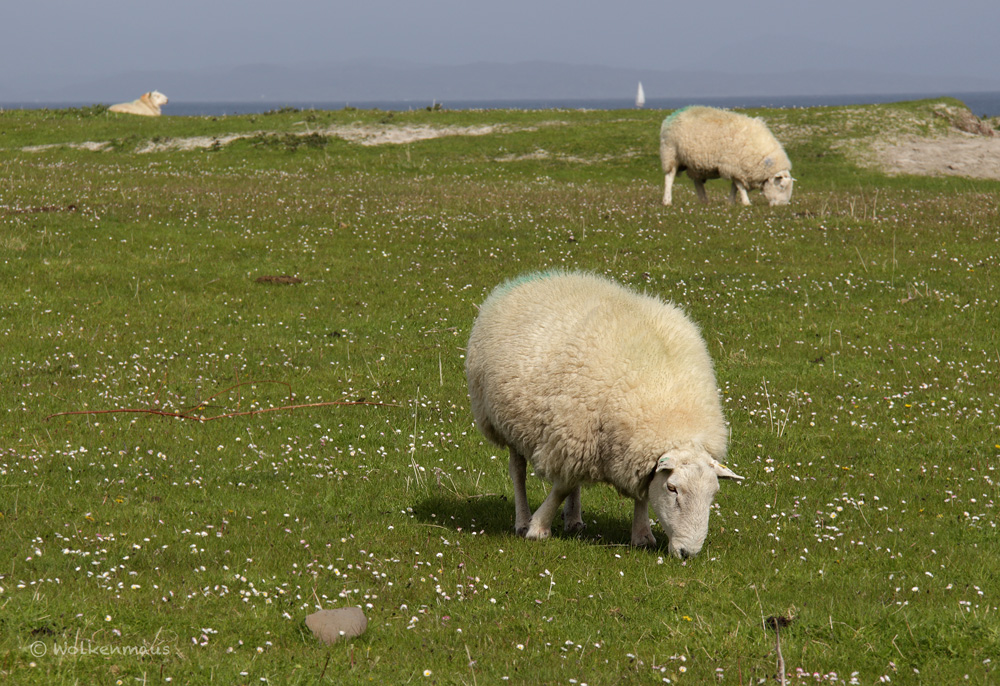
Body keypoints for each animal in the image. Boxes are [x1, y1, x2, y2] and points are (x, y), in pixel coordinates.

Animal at [462, 268, 744, 560]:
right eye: (672, 488)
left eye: (714, 493)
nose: (688, 553)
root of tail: (538, 276)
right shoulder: (578, 437)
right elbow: (561, 487)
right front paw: (538, 527)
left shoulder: (617, 448)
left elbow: (640, 493)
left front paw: (642, 534)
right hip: (510, 423)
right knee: (518, 471)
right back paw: (522, 520)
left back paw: (574, 519)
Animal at [660, 105, 792, 207]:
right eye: (781, 186)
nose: (782, 206)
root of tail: (671, 116)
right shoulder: (734, 165)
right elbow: (740, 186)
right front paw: (746, 202)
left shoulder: (737, 169)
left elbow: (735, 187)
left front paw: (731, 202)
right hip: (671, 153)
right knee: (669, 177)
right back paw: (667, 201)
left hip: (694, 163)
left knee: (697, 182)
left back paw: (704, 201)